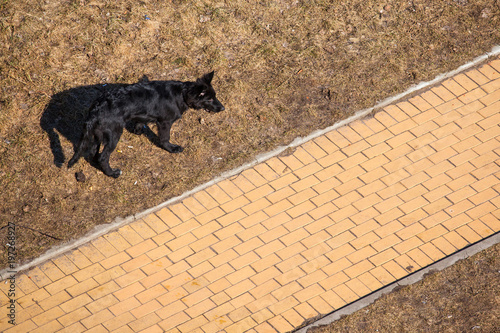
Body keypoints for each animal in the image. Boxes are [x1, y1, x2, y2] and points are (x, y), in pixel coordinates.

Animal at [66, 71, 225, 178]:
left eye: (215, 96)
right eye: (210, 99)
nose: (223, 108)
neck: (182, 94)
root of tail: (95, 111)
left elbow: (140, 121)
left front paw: (138, 130)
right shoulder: (165, 122)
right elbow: (165, 139)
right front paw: (172, 149)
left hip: (97, 135)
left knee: (93, 153)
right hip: (114, 135)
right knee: (103, 157)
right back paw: (112, 173)